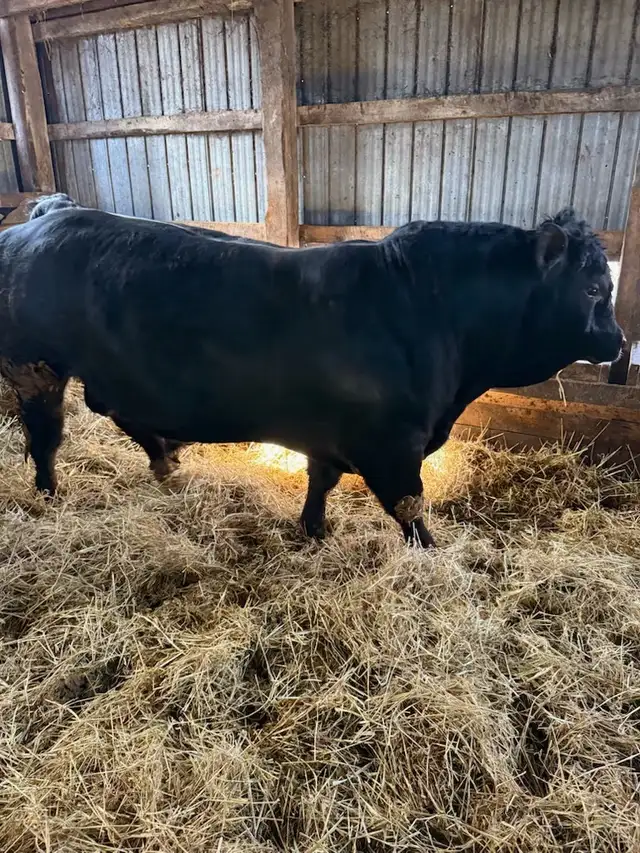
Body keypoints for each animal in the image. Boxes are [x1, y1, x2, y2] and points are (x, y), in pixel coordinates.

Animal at [0, 206, 624, 547]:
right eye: (594, 288)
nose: (618, 341)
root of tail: (33, 226)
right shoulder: (391, 444)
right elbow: (410, 508)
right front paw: (430, 554)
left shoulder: (335, 433)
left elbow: (320, 479)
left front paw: (314, 528)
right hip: (34, 367)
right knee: (47, 435)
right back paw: (50, 493)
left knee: (115, 411)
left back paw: (166, 460)